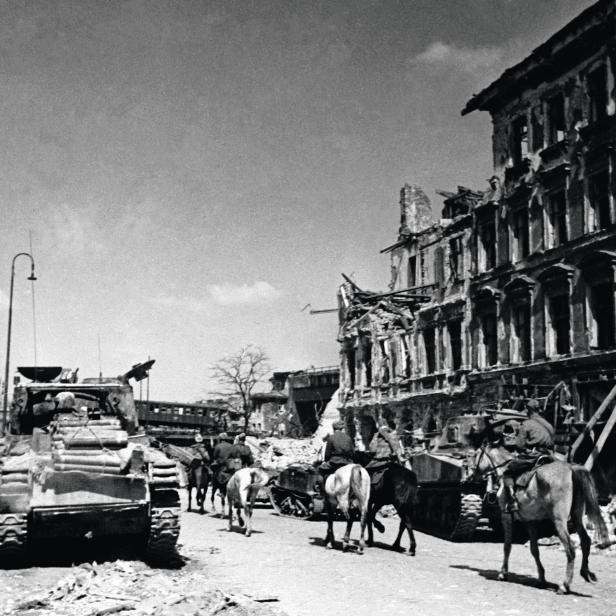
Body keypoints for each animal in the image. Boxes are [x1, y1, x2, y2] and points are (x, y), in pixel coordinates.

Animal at [474, 446, 608, 596]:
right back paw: (585, 573)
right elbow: (534, 549)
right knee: (585, 541)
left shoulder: (506, 516)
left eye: (476, 455)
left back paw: (564, 585)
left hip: (559, 521)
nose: (471, 474)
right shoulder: (530, 521)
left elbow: (507, 546)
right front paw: (541, 578)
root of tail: (571, 469)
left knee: (570, 548)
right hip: (576, 518)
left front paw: (503, 573)